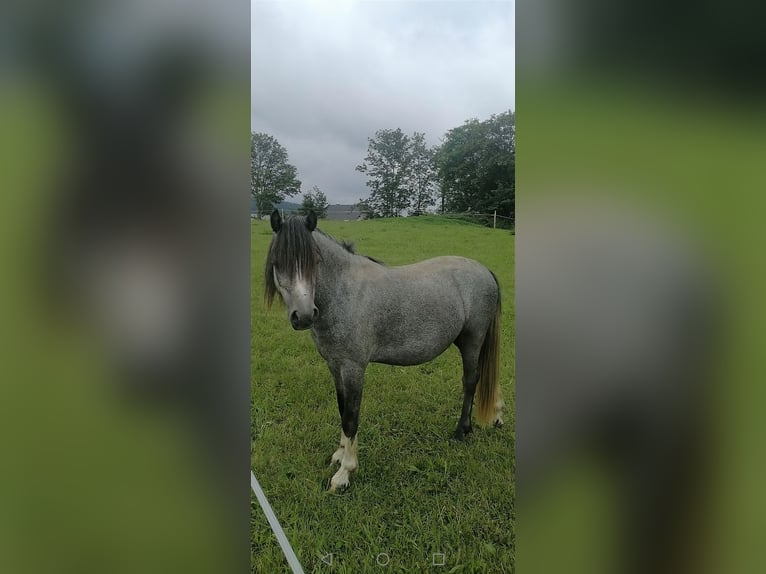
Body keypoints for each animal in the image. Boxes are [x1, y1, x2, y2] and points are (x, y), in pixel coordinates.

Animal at [268, 214, 508, 492]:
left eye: (315, 262)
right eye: (277, 262)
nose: (304, 316)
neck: (344, 293)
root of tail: (484, 271)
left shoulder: (353, 368)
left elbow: (351, 417)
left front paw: (345, 472)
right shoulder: (335, 365)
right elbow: (342, 409)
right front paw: (339, 455)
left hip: (472, 340)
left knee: (471, 382)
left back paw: (462, 431)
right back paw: (495, 417)